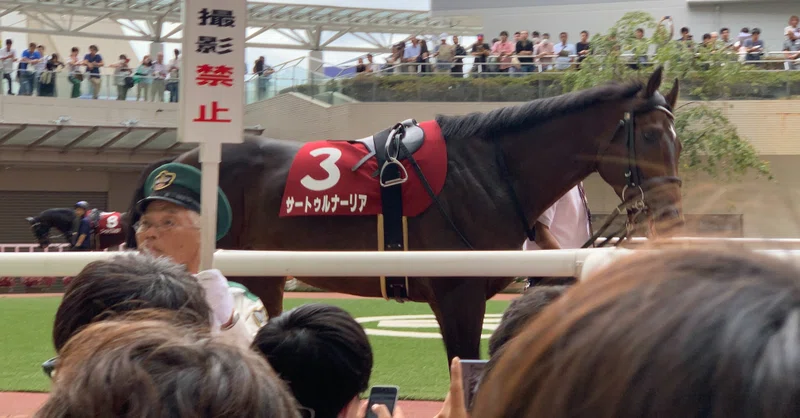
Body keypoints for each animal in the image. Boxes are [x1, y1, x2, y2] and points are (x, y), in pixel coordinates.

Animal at [126, 67, 683, 364]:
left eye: (678, 140)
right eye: (651, 135)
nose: (671, 214)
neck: (490, 167)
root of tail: (176, 161)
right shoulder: (457, 295)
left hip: (264, 277)